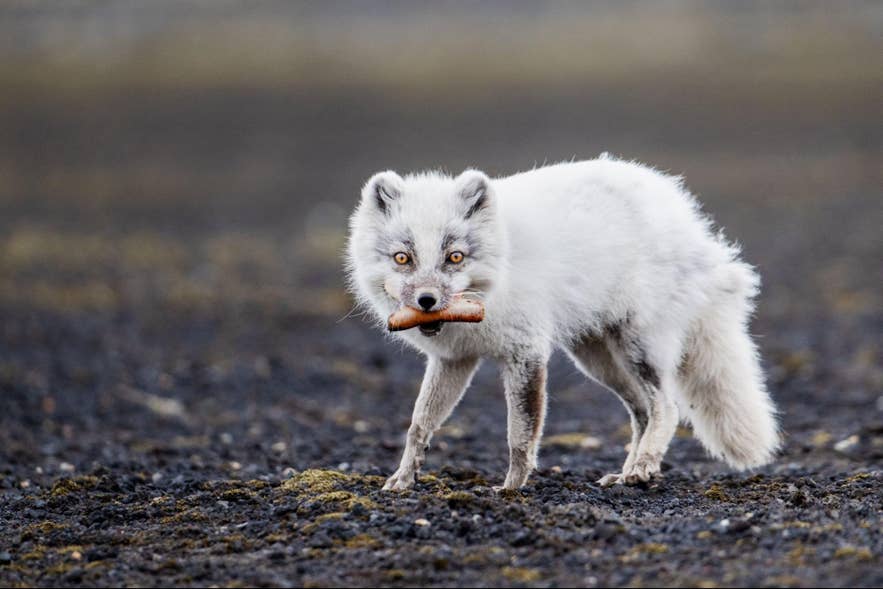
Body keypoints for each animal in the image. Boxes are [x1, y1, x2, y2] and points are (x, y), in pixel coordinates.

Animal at [345, 156, 780, 491]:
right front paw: (403, 479)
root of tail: (690, 222)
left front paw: (511, 488)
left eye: (455, 257)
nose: (427, 301)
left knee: (667, 407)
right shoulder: (454, 360)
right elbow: (419, 425)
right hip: (597, 360)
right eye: (403, 258)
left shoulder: (526, 353)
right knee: (642, 410)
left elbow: (520, 433)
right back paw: (626, 473)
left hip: (639, 346)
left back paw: (643, 467)